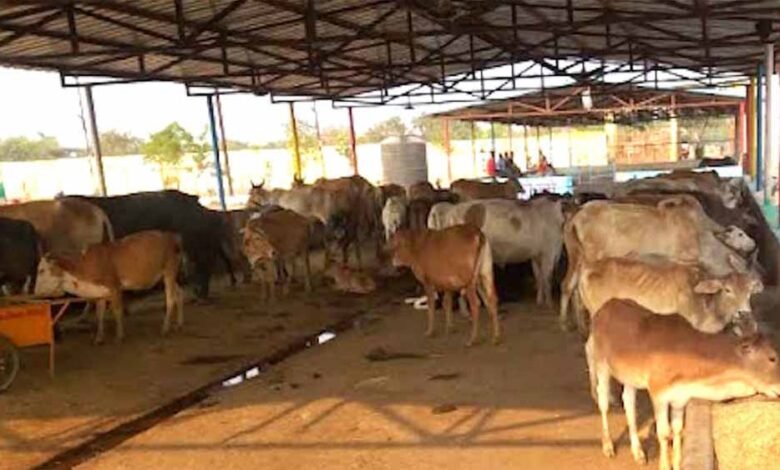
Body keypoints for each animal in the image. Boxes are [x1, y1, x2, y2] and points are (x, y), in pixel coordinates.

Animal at [34, 231, 183, 344]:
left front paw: (119, 336)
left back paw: (165, 328)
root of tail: (171, 236)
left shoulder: (115, 287)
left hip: (169, 272)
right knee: (178, 294)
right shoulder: (100, 292)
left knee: (170, 299)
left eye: (41, 270)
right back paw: (178, 324)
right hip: (168, 276)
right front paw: (99, 338)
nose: (35, 292)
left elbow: (117, 311)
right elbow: (99, 315)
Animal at [429, 198, 565, 306]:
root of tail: (451, 210)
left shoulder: (537, 255)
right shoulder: (549, 251)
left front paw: (540, 301)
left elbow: (539, 276)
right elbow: (547, 277)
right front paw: (549, 303)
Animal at [559, 197, 756, 329]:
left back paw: (572, 324)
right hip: (591, 257)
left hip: (575, 255)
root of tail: (578, 214)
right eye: (740, 234)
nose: (753, 244)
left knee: (568, 285)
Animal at [587, 299, 780, 470]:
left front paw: (677, 463)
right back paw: (608, 446)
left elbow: (678, 430)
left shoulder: (681, 398)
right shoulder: (658, 394)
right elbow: (664, 433)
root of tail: (607, 306)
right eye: (772, 358)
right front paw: (665, 465)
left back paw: (638, 453)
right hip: (601, 364)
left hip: (630, 378)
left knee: (628, 403)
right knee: (603, 402)